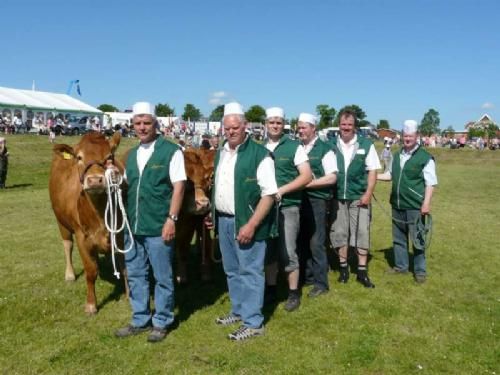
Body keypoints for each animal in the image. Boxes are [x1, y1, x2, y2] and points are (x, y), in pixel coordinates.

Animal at [49, 132, 126, 314]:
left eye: (109, 156)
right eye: (79, 157)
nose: (95, 180)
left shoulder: (120, 235)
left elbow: (126, 268)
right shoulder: (81, 237)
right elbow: (90, 271)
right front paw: (91, 304)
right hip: (61, 221)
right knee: (67, 245)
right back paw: (70, 274)